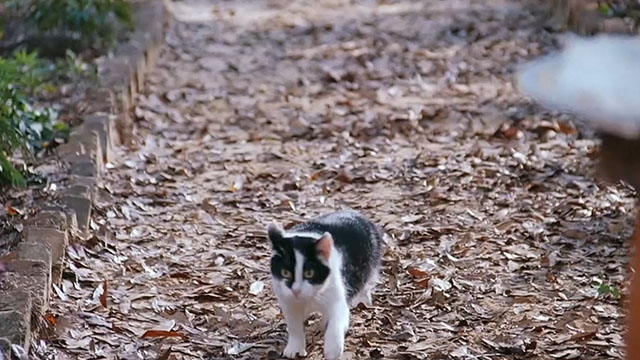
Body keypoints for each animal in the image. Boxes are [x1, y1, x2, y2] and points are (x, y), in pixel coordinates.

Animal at [268, 210, 382, 358]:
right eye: (285, 272)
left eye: (309, 273)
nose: (296, 290)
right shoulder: (287, 300)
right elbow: (294, 325)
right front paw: (294, 348)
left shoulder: (338, 293)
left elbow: (337, 318)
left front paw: (332, 349)